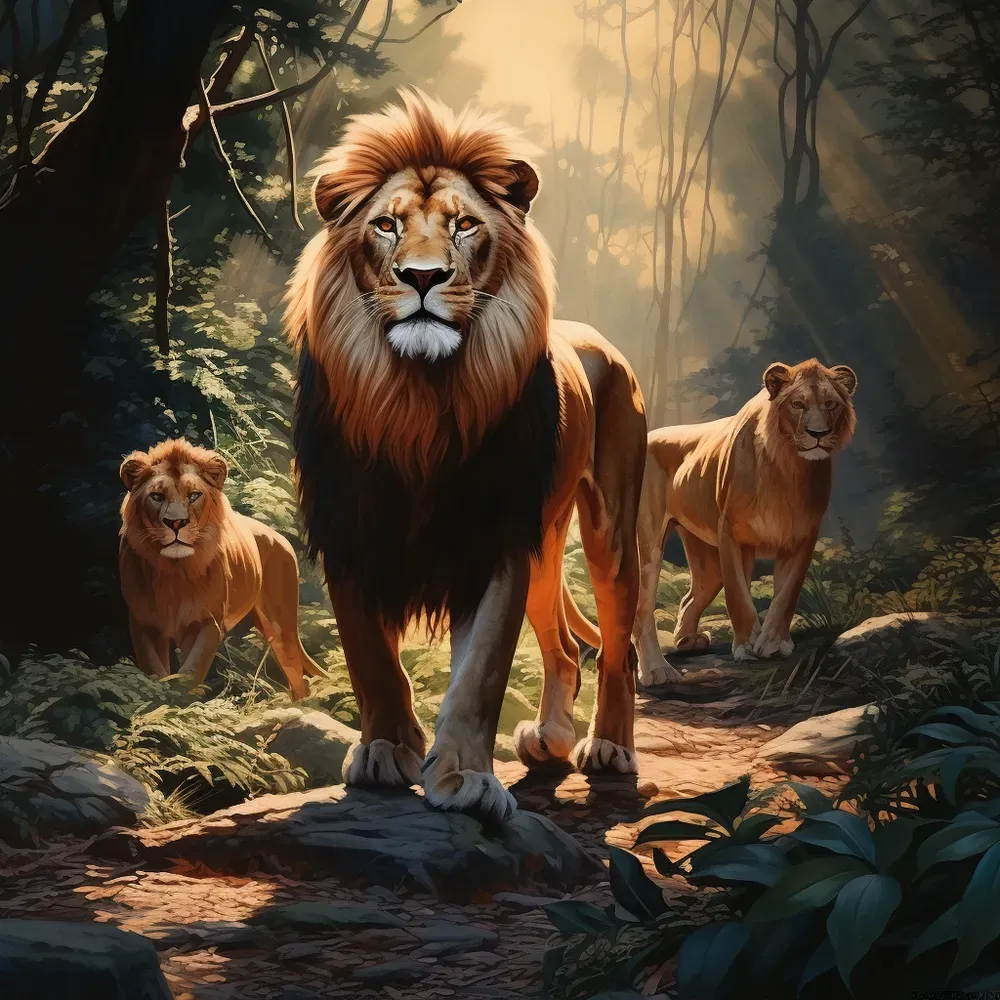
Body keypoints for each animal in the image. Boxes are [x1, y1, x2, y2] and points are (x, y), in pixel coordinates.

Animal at [118, 438, 322, 699]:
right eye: (156, 496)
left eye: (194, 495)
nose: (176, 522)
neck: (175, 573)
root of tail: (279, 537)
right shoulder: (143, 624)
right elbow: (156, 674)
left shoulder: (208, 623)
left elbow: (190, 674)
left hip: (281, 625)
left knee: (296, 673)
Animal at [285, 89, 648, 823]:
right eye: (386, 225)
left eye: (465, 226)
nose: (423, 277)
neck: (418, 400)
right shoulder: (349, 530)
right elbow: (370, 656)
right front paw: (383, 751)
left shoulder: (494, 539)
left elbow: (481, 670)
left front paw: (466, 779)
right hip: (547, 542)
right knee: (565, 646)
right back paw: (551, 738)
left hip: (608, 531)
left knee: (617, 644)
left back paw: (607, 747)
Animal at [632, 359, 858, 686]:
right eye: (798, 404)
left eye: (831, 404)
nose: (818, 433)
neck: (789, 467)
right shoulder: (732, 536)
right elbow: (738, 595)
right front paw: (747, 645)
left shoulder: (802, 538)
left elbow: (786, 596)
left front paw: (774, 642)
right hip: (648, 544)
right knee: (641, 608)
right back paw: (656, 670)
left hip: (705, 559)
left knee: (690, 597)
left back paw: (688, 641)